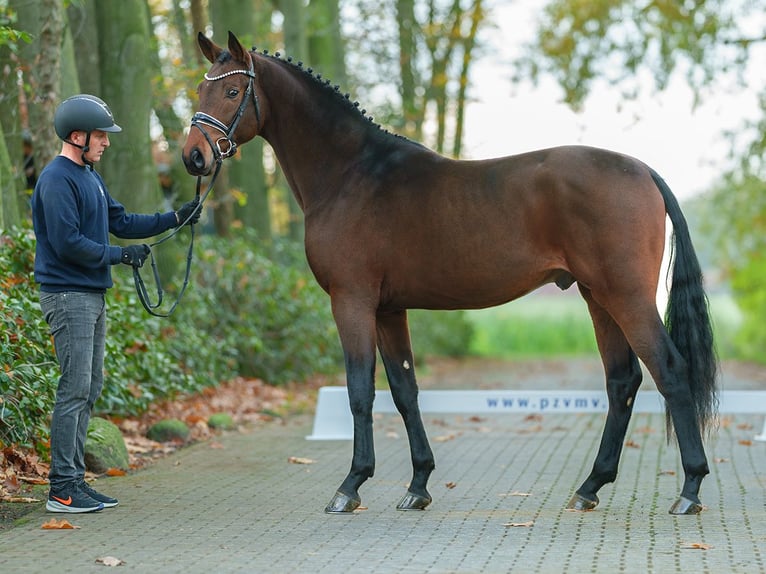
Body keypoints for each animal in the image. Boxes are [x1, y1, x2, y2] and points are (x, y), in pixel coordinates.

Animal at [184, 31, 720, 516]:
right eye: (200, 90)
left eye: (232, 91)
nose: (194, 156)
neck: (351, 174)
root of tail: (643, 171)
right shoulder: (388, 309)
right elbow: (405, 391)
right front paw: (418, 485)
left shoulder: (351, 300)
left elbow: (361, 390)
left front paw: (351, 485)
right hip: (597, 296)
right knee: (622, 381)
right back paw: (590, 487)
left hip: (626, 296)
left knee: (670, 371)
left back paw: (690, 489)